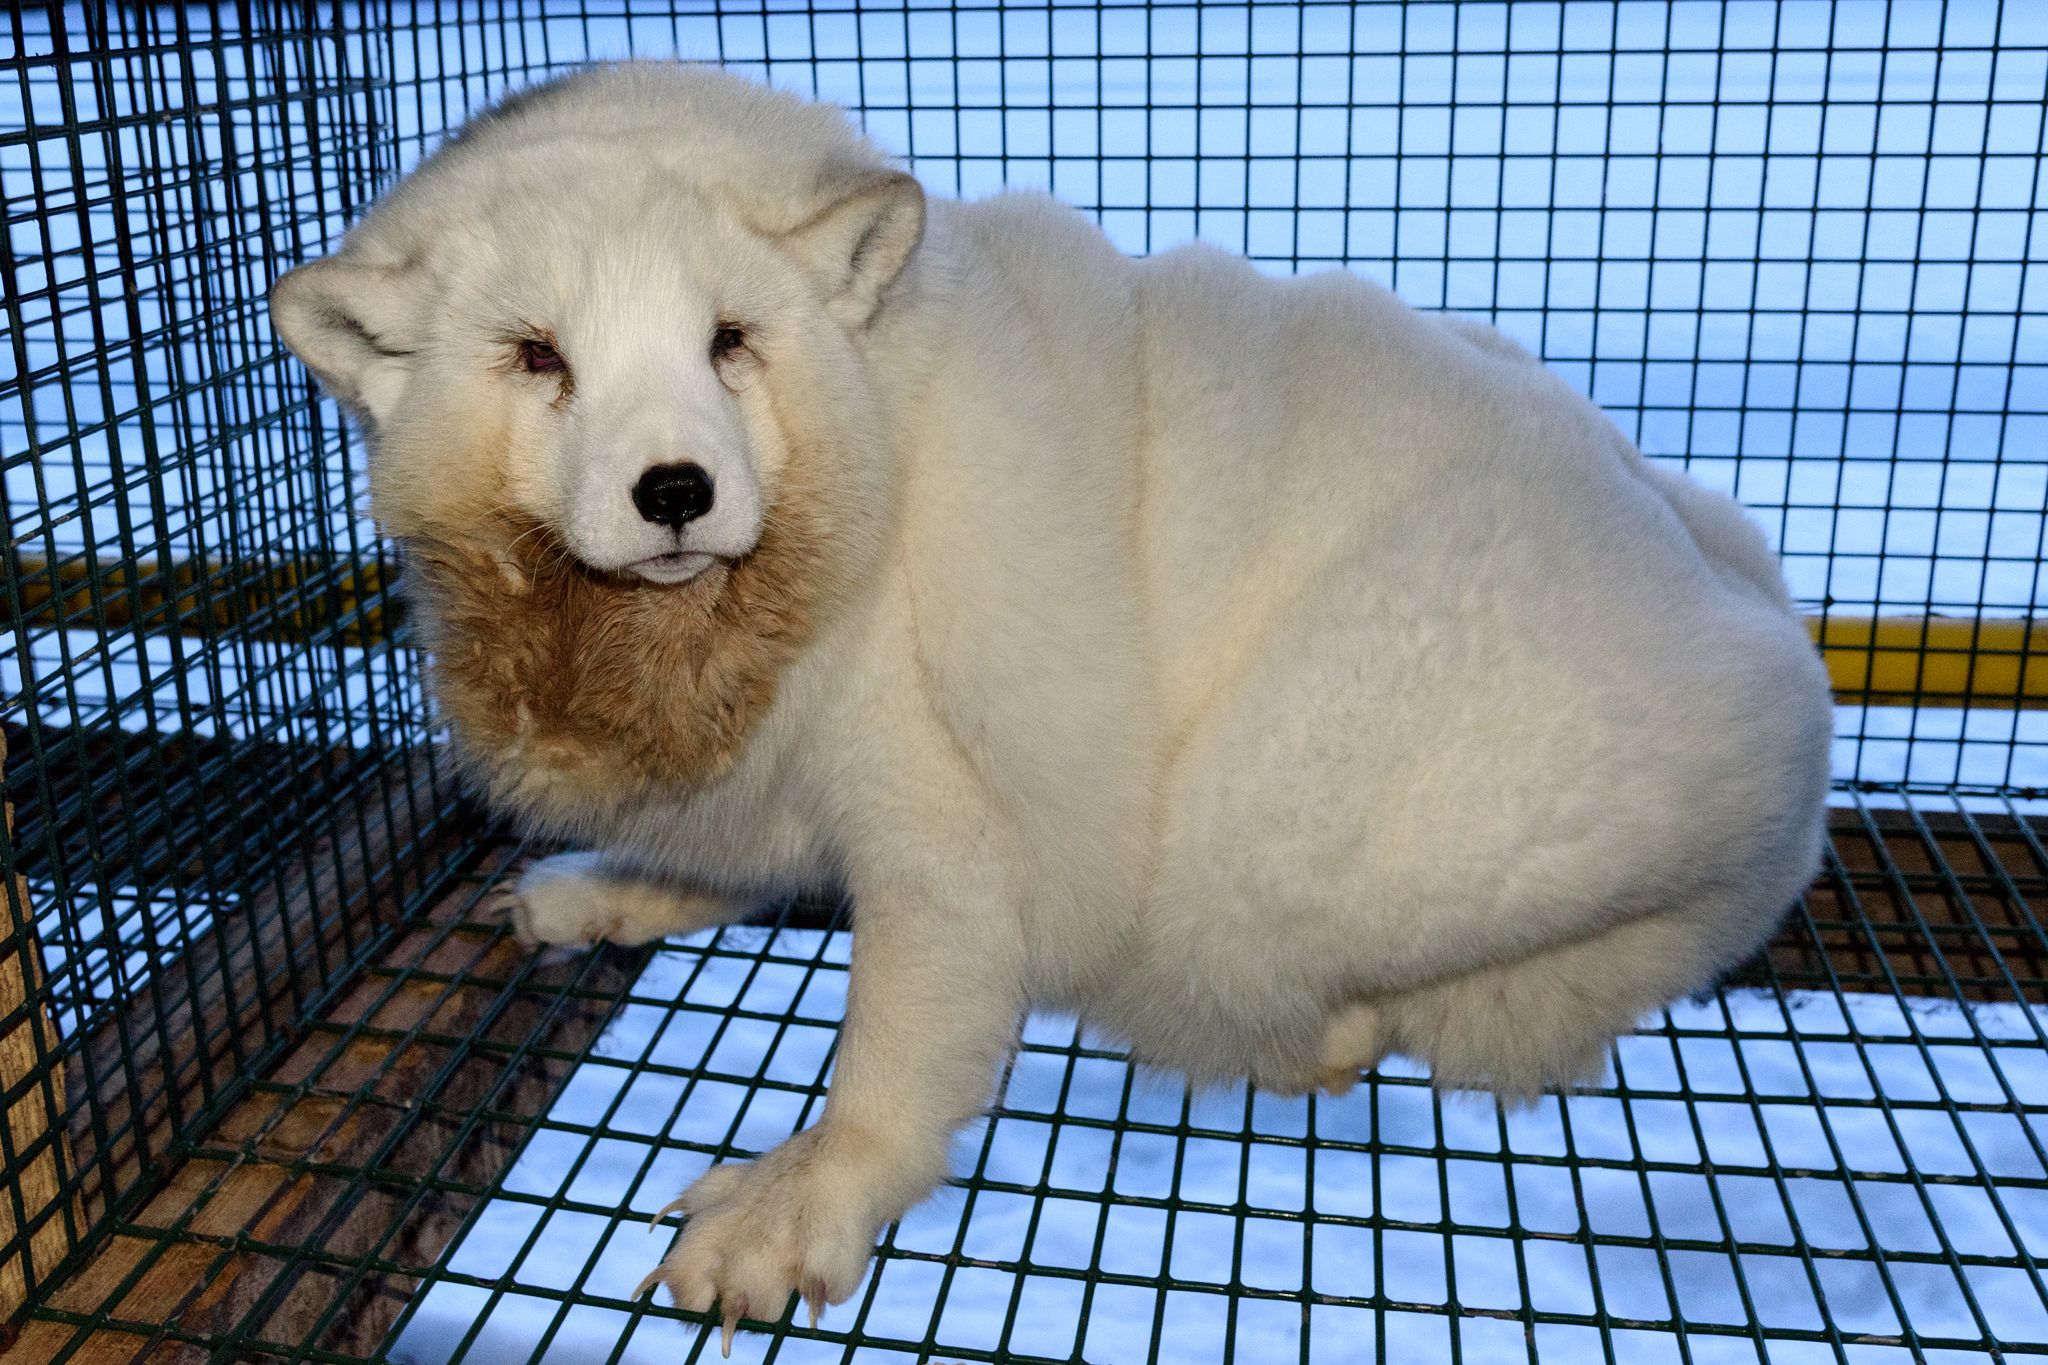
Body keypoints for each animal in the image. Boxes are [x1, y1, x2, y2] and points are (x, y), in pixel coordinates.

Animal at [269, 60, 1831, 1347]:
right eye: (537, 355)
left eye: (730, 341)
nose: (675, 491)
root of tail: (1769, 627)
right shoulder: (756, 778)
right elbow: (724, 865)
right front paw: (613, 891)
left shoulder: (941, 816)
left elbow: (899, 1042)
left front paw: (809, 1198)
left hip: (1304, 820)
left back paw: (1326, 1036)